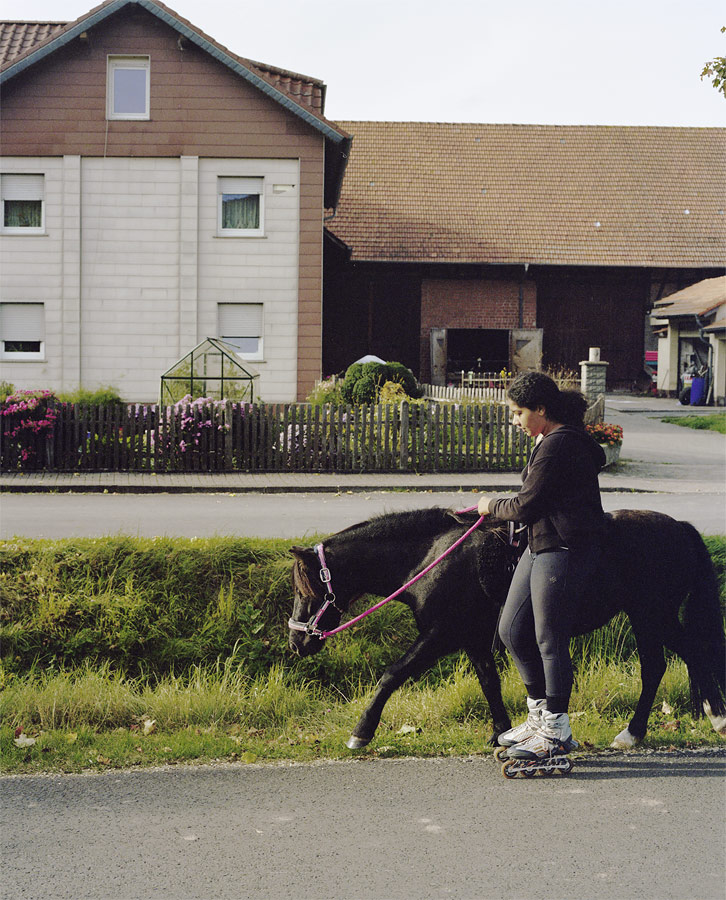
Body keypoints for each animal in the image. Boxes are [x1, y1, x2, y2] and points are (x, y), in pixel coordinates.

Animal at [292, 506, 726, 752]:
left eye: (306, 589)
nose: (297, 641)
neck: (432, 557)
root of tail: (680, 527)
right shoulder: (471, 637)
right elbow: (489, 682)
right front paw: (500, 732)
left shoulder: (439, 635)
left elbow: (391, 675)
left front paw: (361, 732)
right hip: (649, 616)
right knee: (671, 662)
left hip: (653, 615)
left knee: (674, 661)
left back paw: (685, 722)